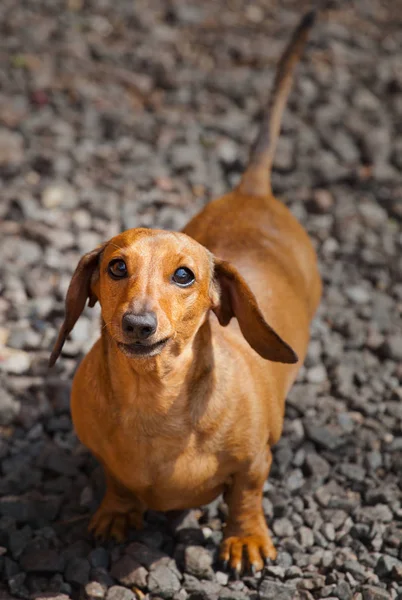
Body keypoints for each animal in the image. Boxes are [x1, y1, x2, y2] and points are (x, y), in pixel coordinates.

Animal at [49, 11, 320, 576]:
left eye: (184, 275)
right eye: (116, 266)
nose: (138, 325)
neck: (157, 403)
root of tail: (252, 190)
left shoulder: (254, 462)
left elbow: (246, 494)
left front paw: (245, 540)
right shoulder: (108, 460)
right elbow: (117, 481)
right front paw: (116, 512)